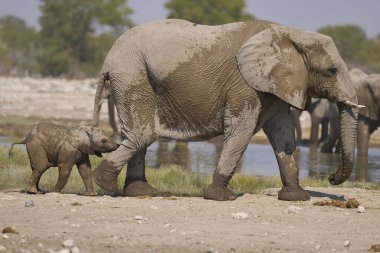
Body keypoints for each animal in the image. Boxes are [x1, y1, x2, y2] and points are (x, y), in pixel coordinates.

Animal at [92, 18, 360, 202]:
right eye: (332, 71)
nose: (331, 177)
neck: (291, 34)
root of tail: (108, 58)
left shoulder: (276, 85)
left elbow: (283, 134)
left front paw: (296, 197)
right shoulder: (244, 84)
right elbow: (242, 129)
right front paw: (222, 197)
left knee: (138, 134)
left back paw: (139, 192)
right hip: (132, 74)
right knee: (143, 133)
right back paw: (104, 183)